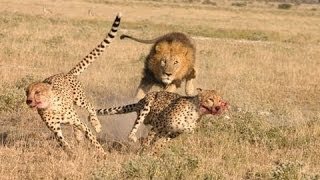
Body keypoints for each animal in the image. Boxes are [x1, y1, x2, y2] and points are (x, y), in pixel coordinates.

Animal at [25, 13, 122, 155]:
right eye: (27, 93)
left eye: (37, 92)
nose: (29, 101)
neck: (51, 106)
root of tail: (67, 73)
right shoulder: (55, 129)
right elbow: (62, 142)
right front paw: (71, 153)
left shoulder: (79, 123)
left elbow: (92, 138)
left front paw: (102, 153)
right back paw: (78, 136)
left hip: (79, 99)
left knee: (90, 107)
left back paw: (96, 124)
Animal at [96, 88, 229, 153]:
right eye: (210, 99)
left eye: (219, 100)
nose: (218, 107)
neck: (196, 112)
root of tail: (140, 101)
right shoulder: (158, 125)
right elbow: (149, 141)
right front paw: (144, 152)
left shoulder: (173, 133)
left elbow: (160, 144)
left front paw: (154, 153)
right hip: (147, 106)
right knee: (136, 126)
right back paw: (133, 137)